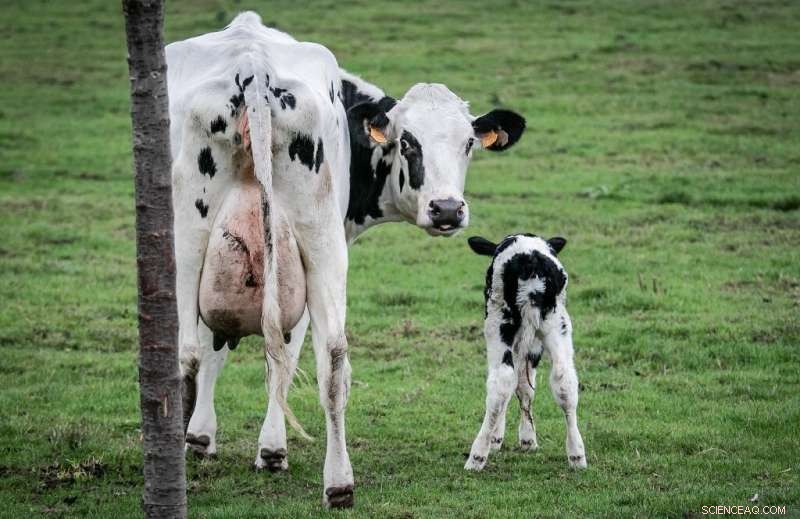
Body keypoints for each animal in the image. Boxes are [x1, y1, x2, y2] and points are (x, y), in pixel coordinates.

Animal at [166, 12, 526, 507]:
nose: (448, 209)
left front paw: (231, 442)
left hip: (219, 242)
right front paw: (213, 439)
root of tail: (253, 67)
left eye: (469, 143)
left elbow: (260, 350)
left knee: (217, 353)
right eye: (407, 142)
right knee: (322, 358)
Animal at [464, 234, 587, 471]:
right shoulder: (533, 346)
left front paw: (497, 439)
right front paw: (528, 439)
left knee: (501, 382)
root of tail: (531, 260)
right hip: (558, 324)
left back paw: (477, 456)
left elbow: (514, 385)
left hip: (497, 323)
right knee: (564, 380)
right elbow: (525, 387)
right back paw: (577, 455)